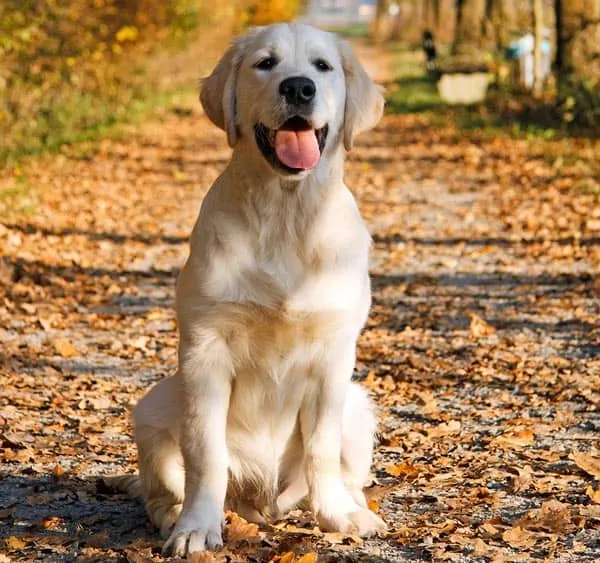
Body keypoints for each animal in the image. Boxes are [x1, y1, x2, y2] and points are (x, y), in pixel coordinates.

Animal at [129, 22, 386, 556]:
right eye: (265, 64)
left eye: (322, 66)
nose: (299, 88)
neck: (286, 214)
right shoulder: (204, 349)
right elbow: (204, 453)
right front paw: (195, 528)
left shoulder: (334, 357)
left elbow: (321, 447)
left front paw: (336, 516)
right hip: (154, 407)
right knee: (163, 489)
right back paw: (174, 517)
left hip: (358, 403)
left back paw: (351, 505)